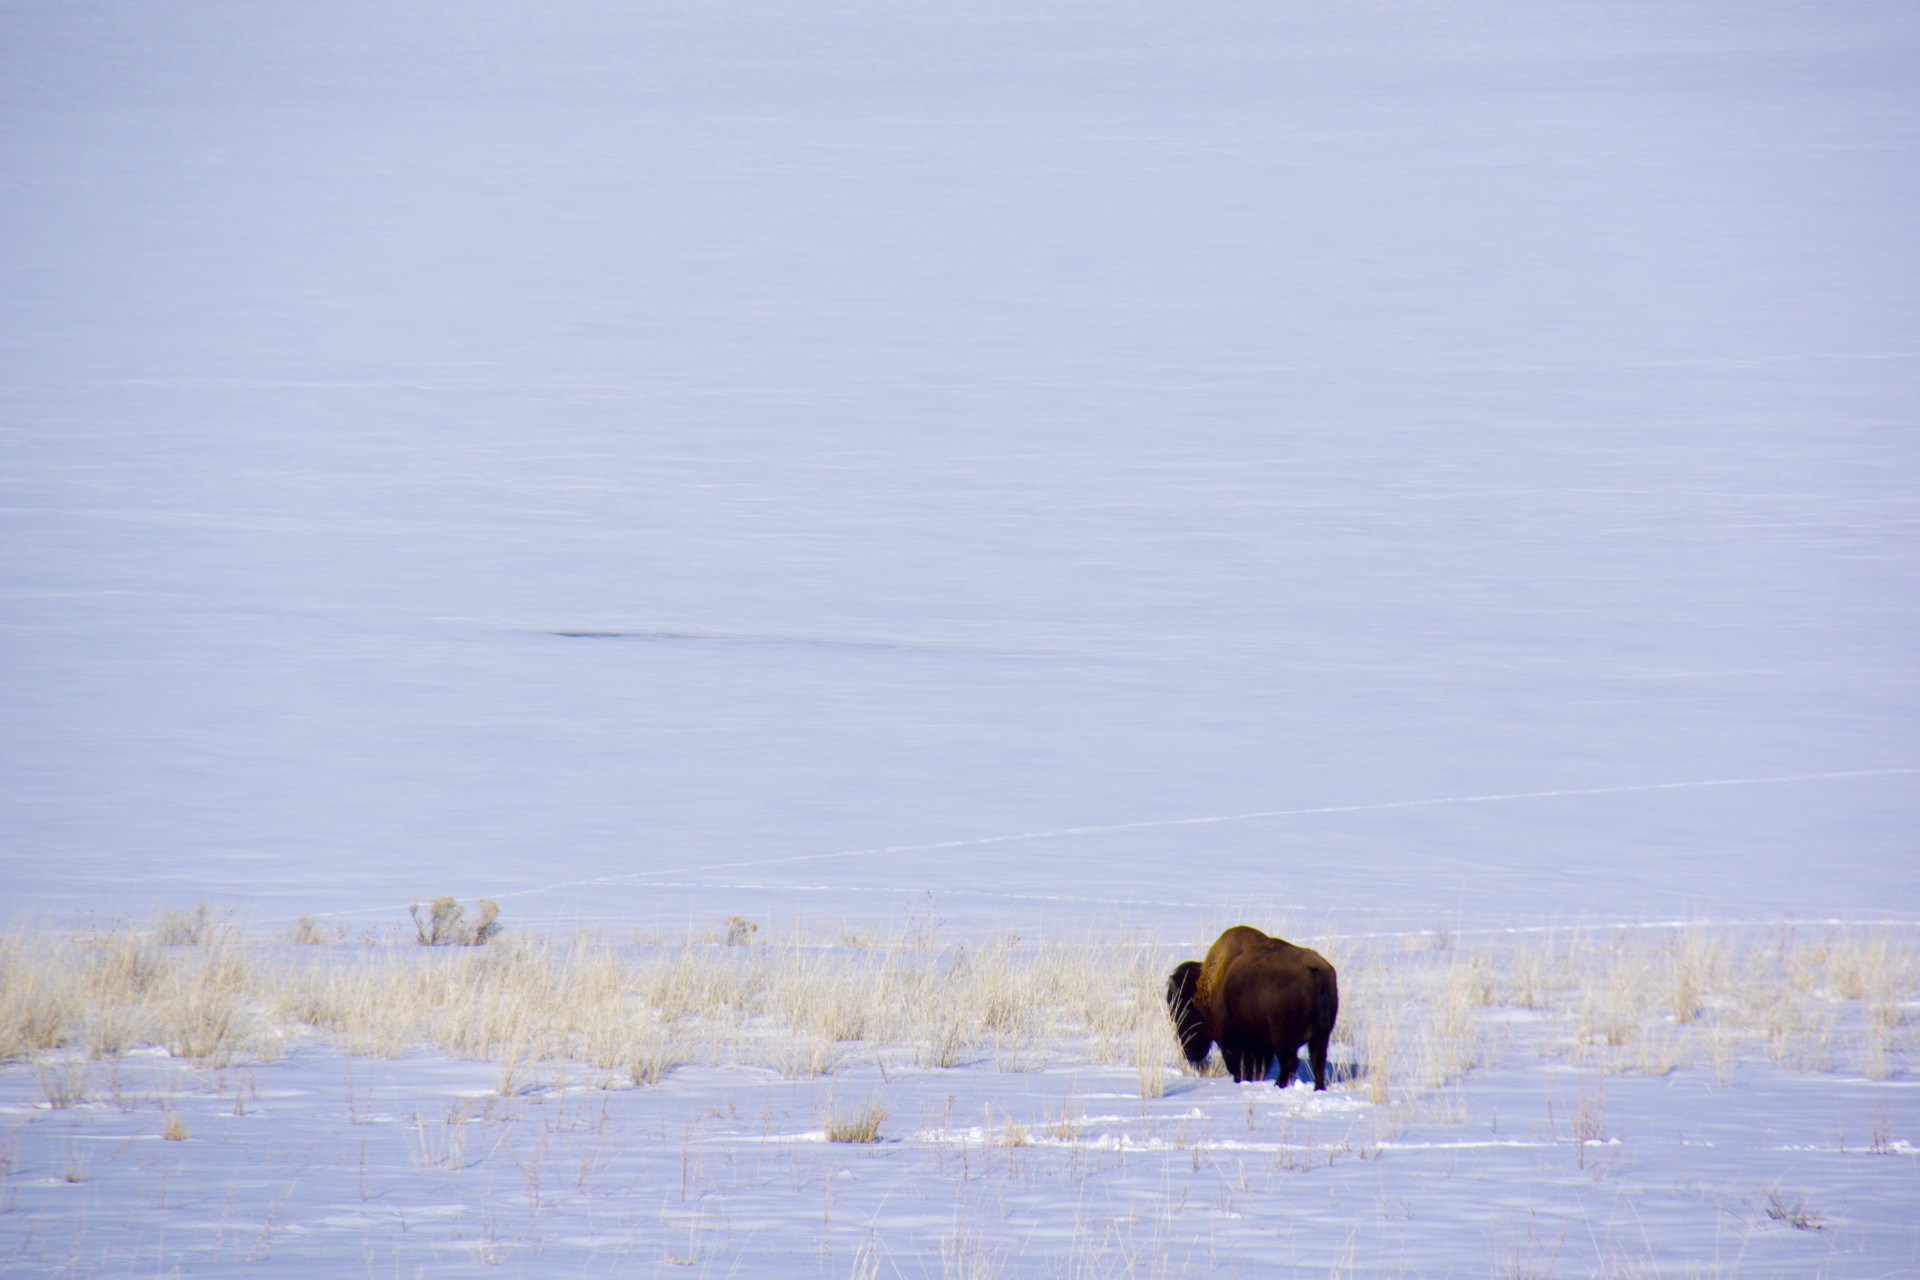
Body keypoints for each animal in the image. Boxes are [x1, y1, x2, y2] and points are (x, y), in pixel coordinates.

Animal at [1159, 921, 1344, 1090]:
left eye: (1182, 1010)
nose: (1190, 1053)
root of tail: (1315, 970)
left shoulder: (1232, 1041)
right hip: (1321, 1035)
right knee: (1317, 1060)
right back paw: (1318, 1088)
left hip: (1283, 1036)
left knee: (1290, 1061)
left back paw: (1278, 1085)